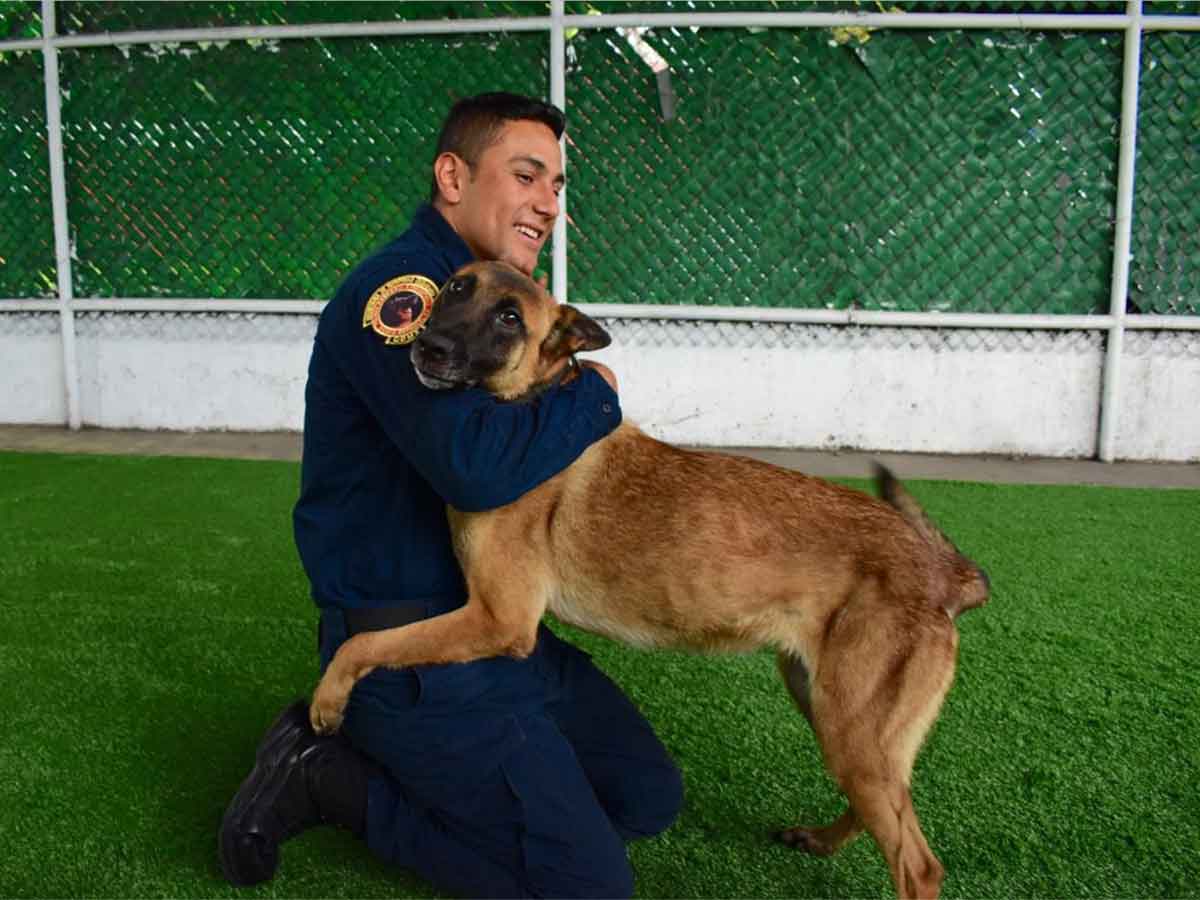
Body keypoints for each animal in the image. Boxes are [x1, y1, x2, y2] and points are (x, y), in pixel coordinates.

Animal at [310, 260, 990, 899]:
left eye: (509, 318)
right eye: (454, 288)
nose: (429, 347)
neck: (530, 401)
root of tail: (944, 570)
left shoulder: (496, 619)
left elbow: (364, 641)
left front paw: (328, 699)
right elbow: (375, 639)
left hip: (851, 729)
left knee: (918, 866)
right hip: (836, 717)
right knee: (890, 808)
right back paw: (821, 840)